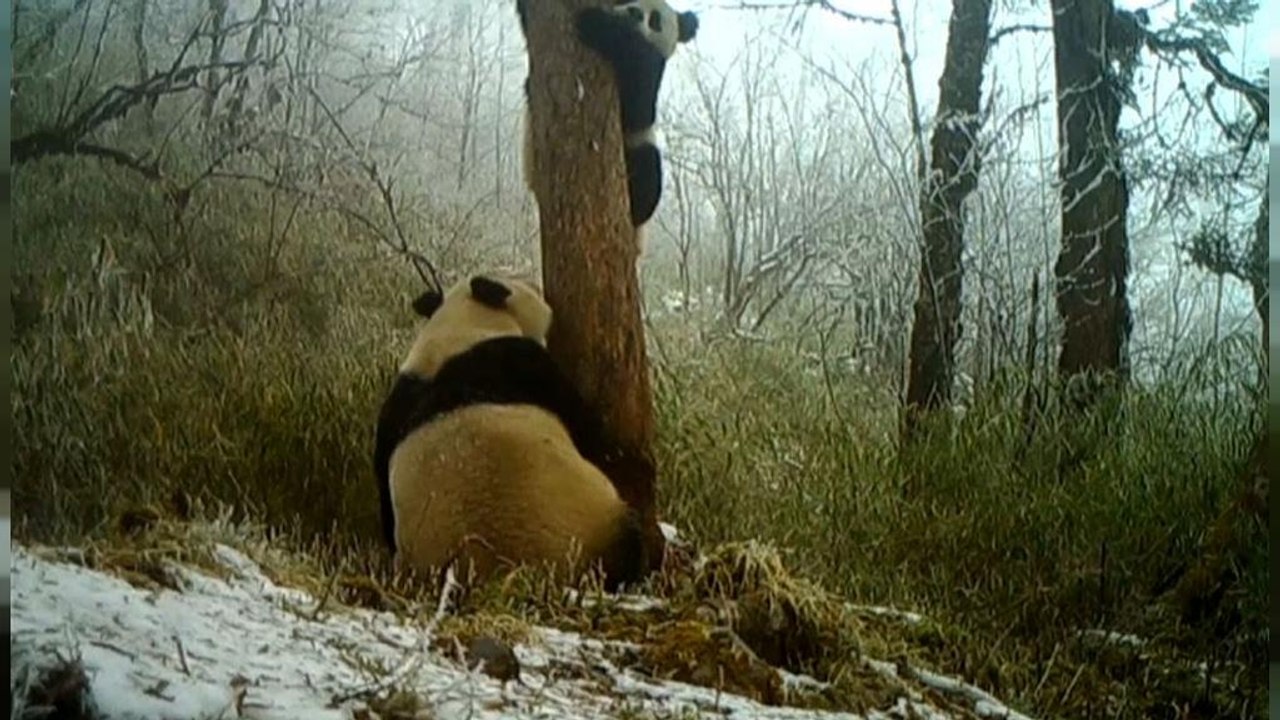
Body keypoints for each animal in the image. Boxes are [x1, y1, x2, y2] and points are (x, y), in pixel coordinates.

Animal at [372, 274, 648, 590]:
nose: (540, 288)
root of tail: (505, 573)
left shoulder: (397, 405)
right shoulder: (523, 363)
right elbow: (586, 429)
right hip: (586, 524)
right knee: (626, 542)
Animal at [518, 0, 699, 249]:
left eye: (655, 19)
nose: (634, 13)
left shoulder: (651, 69)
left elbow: (638, 109)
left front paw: (599, 25)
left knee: (648, 168)